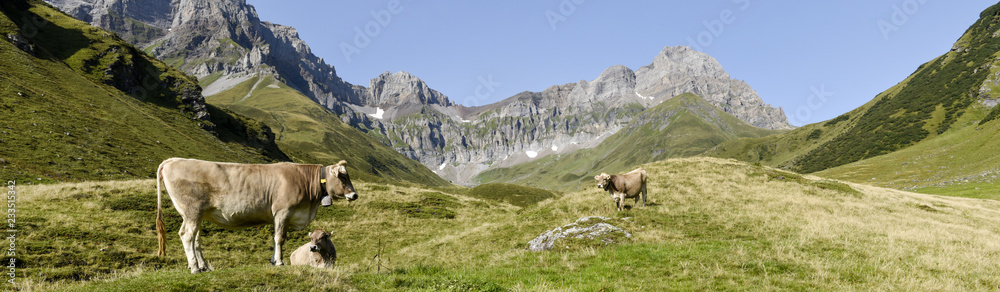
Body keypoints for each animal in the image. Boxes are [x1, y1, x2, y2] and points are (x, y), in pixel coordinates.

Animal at [154, 157, 358, 274]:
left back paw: (203, 266)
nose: (354, 195)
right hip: (192, 211)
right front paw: (279, 262)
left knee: (195, 239)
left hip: (196, 215)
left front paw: (273, 260)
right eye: (343, 177)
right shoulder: (283, 211)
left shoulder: (279, 214)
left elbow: (275, 238)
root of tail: (172, 160)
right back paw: (195, 268)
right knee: (187, 235)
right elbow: (279, 238)